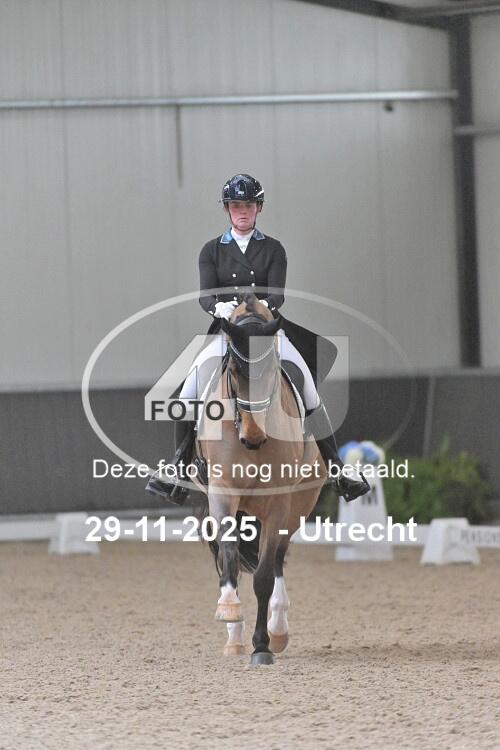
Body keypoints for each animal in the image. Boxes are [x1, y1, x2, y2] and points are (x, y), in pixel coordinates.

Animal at [193, 292, 326, 665]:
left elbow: (265, 575)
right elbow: (228, 556)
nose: (253, 437)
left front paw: (262, 645)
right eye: (233, 371)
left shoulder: (279, 503)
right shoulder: (221, 493)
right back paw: (234, 638)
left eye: (271, 373)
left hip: (295, 507)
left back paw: (277, 631)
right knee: (230, 559)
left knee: (278, 558)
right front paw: (229, 611)